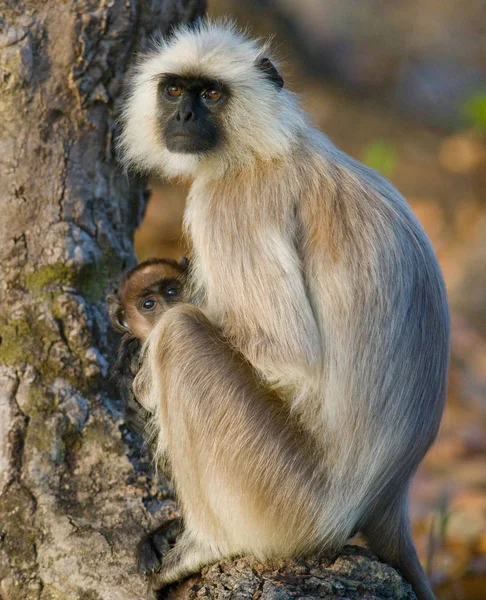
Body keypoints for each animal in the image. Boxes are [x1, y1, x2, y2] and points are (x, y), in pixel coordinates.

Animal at [119, 18, 450, 600]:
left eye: (211, 94)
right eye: (175, 90)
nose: (183, 117)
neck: (265, 147)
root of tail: (390, 499)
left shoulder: (229, 202)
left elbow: (289, 356)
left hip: (282, 498)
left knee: (182, 337)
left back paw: (208, 543)